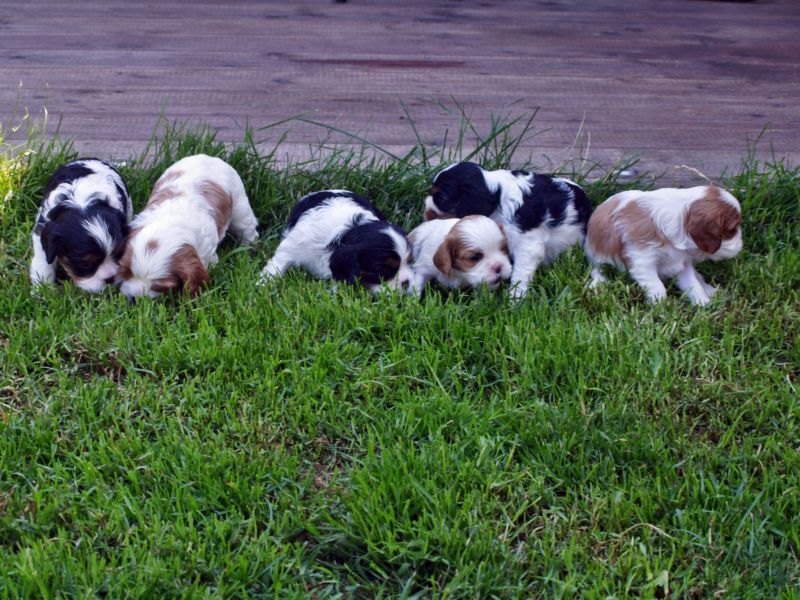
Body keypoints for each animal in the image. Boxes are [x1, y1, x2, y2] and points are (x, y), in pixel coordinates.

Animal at [30, 158, 132, 292]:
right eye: (85, 264)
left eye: (119, 254)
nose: (110, 278)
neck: (81, 203)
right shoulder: (42, 228)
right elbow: (43, 260)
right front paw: (42, 288)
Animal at [118, 154, 258, 300]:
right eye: (126, 271)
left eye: (160, 287)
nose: (133, 299)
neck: (170, 224)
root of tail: (208, 156)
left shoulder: (205, 253)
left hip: (239, 205)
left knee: (247, 228)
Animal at [258, 190, 413, 293]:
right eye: (382, 270)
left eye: (409, 262)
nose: (407, 283)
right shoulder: (293, 246)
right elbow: (277, 266)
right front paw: (263, 285)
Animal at [423, 161, 592, 299]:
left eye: (441, 198)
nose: (426, 211)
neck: (497, 197)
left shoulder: (528, 245)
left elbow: (520, 274)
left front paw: (515, 300)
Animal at [584, 185, 743, 305]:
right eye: (732, 230)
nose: (741, 245)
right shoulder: (642, 262)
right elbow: (658, 287)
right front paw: (660, 307)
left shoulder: (682, 263)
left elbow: (693, 285)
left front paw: (703, 304)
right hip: (599, 259)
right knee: (599, 271)